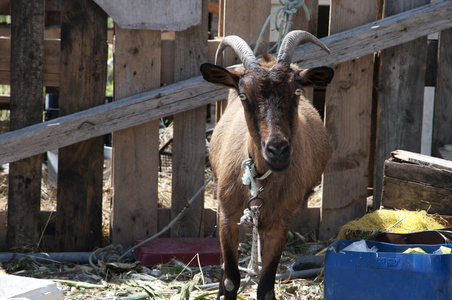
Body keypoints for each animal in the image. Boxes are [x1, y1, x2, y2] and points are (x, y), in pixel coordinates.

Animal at [200, 31, 334, 300]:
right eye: (243, 95)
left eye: (297, 91)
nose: (278, 150)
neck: (259, 179)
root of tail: (267, 59)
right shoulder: (227, 216)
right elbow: (230, 278)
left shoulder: (279, 224)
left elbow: (266, 287)